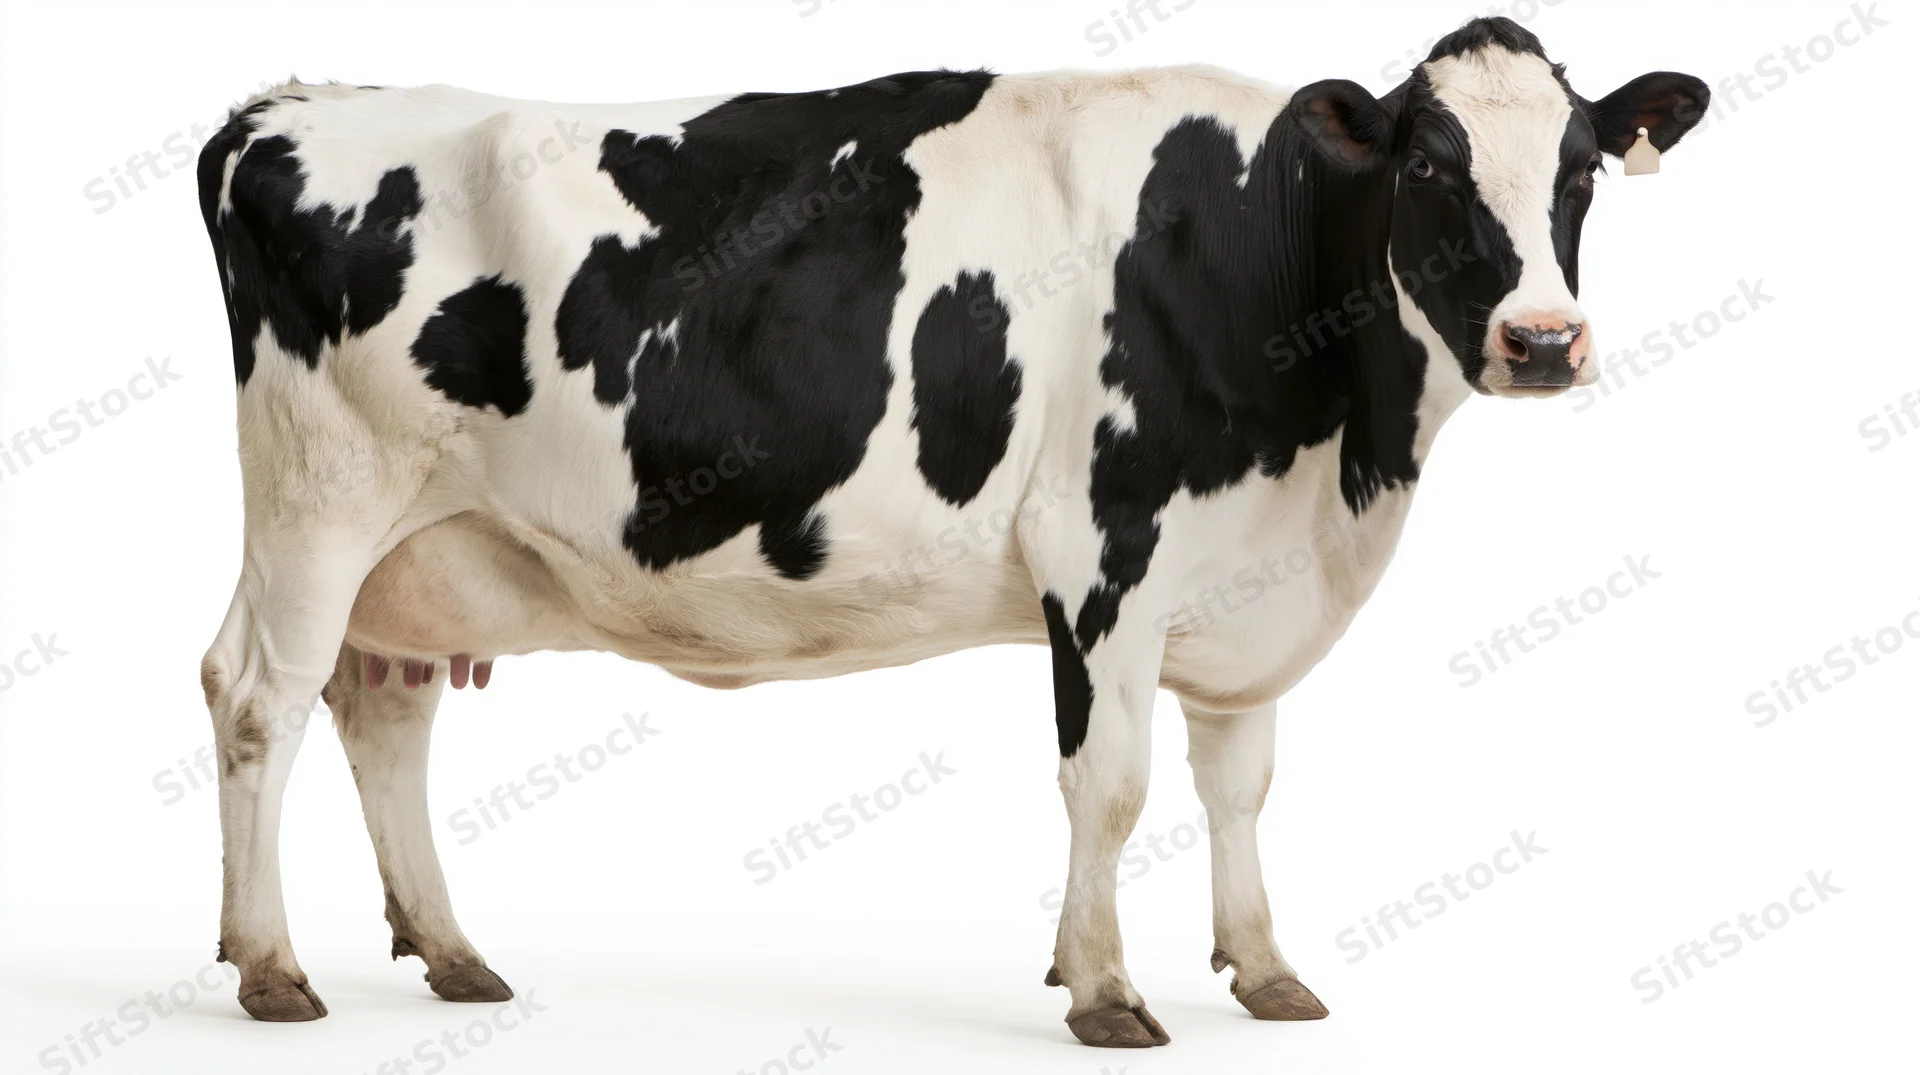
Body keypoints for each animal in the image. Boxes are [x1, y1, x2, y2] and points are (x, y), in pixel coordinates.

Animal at [194, 16, 1706, 1047]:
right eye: (1434, 169)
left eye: (1580, 170)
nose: (1544, 340)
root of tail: (287, 104)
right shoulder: (1103, 558)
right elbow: (1112, 786)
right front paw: (1103, 987)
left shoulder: (1245, 575)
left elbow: (1239, 785)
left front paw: (1266, 969)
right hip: (321, 499)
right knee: (258, 694)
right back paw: (270, 965)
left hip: (417, 546)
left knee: (382, 711)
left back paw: (451, 951)